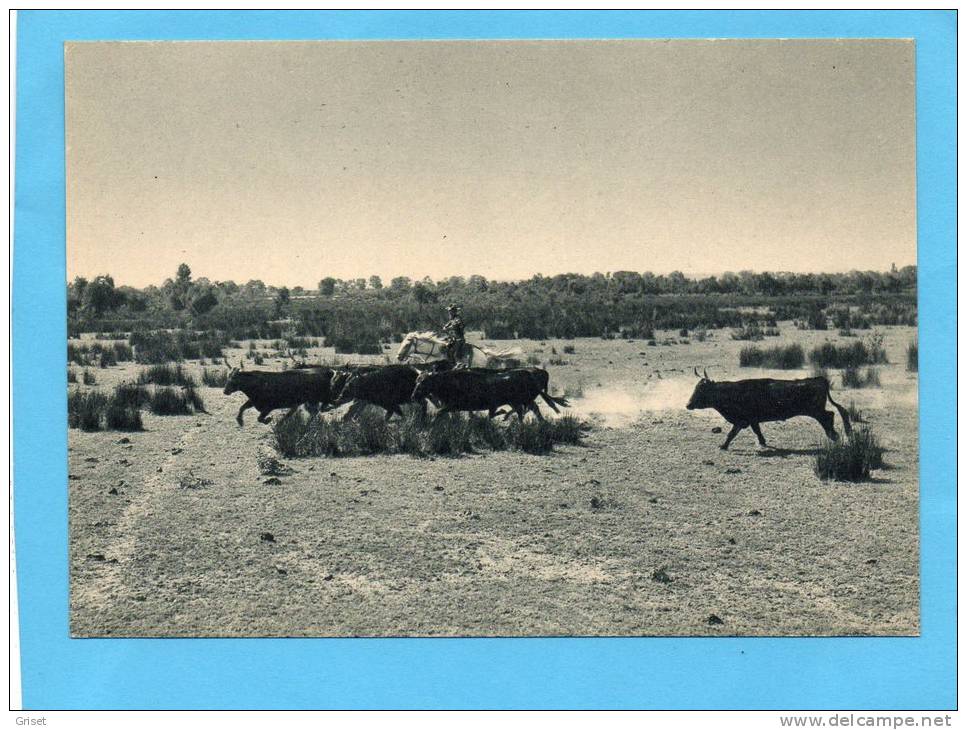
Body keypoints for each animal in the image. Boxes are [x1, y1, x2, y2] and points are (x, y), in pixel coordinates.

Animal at [410, 366, 568, 418]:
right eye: (416, 380)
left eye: (424, 382)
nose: (414, 395)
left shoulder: (453, 406)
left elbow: (438, 413)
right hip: (519, 401)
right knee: (526, 410)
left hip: (523, 400)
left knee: (529, 409)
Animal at [684, 376, 852, 450]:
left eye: (702, 390)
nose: (688, 405)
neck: (734, 392)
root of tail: (819, 379)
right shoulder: (751, 420)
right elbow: (755, 431)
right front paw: (763, 442)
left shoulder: (743, 420)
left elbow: (732, 433)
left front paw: (723, 446)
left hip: (816, 411)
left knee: (829, 417)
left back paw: (834, 436)